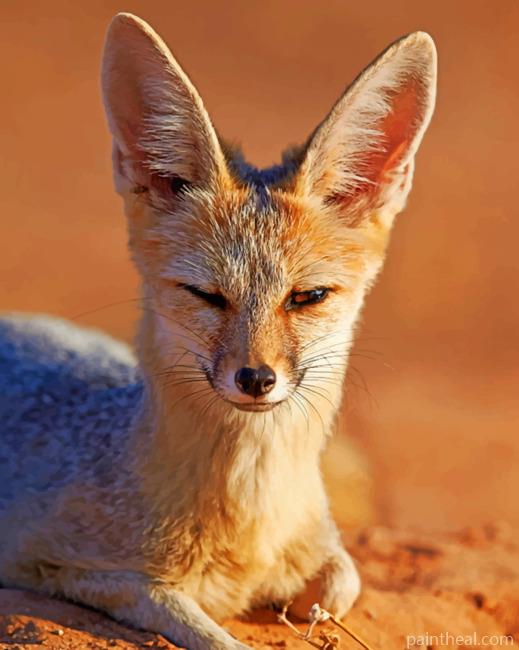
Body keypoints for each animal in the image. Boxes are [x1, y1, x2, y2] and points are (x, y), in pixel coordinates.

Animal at [0, 12, 436, 650]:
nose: (256, 378)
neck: (248, 524)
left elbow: (341, 584)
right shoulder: (61, 566)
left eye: (307, 297)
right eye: (206, 295)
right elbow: (211, 633)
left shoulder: (326, 543)